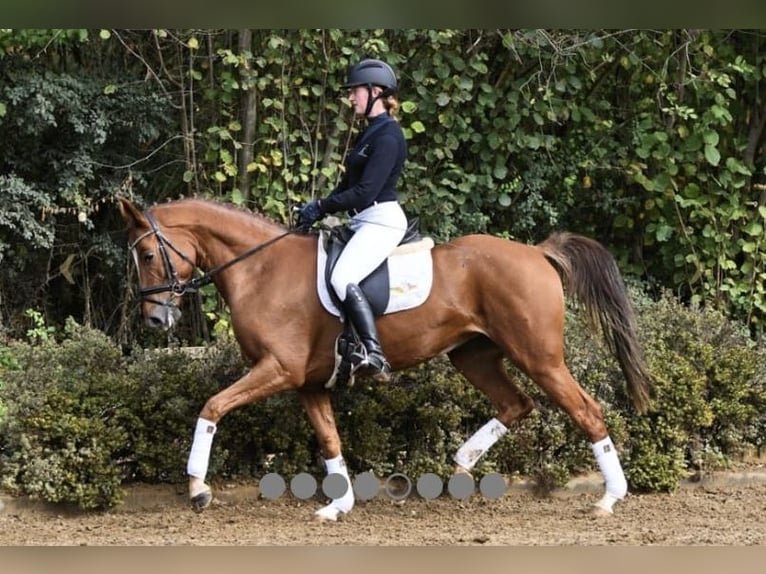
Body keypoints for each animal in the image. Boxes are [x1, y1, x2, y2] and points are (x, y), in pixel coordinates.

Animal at [118, 197, 656, 520]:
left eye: (147, 255)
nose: (155, 321)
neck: (260, 268)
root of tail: (536, 252)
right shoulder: (306, 381)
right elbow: (330, 440)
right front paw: (339, 505)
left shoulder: (277, 369)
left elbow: (211, 406)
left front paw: (197, 488)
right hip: (473, 356)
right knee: (516, 405)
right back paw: (459, 465)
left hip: (539, 357)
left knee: (587, 411)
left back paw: (609, 497)